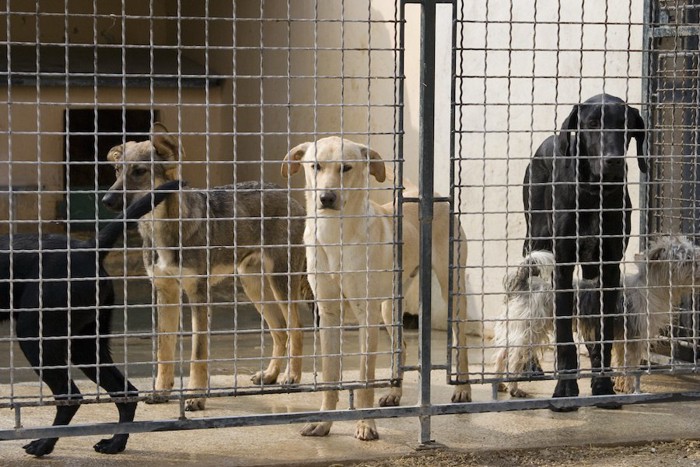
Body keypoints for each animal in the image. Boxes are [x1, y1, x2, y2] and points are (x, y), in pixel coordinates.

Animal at [1, 180, 180, 458]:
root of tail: (88, 249)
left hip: (37, 335)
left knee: (71, 396)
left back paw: (44, 444)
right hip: (85, 343)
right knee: (124, 391)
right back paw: (115, 443)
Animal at [280, 136, 470, 442]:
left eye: (346, 168)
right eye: (315, 166)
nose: (326, 198)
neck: (335, 235)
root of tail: (429, 194)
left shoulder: (365, 317)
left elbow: (366, 378)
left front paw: (366, 424)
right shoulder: (328, 315)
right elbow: (330, 374)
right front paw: (324, 421)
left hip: (451, 287)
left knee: (460, 339)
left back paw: (463, 388)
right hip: (388, 306)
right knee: (401, 346)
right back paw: (394, 392)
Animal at [494, 238, 700, 398]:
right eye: (688, 259)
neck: (651, 288)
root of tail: (524, 284)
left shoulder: (621, 338)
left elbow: (620, 362)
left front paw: (620, 385)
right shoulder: (634, 337)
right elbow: (630, 364)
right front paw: (631, 388)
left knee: (501, 354)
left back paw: (499, 384)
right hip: (529, 330)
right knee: (513, 357)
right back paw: (514, 388)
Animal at [524, 93, 644, 412]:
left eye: (624, 125)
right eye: (592, 124)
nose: (613, 160)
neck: (594, 192)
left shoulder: (609, 268)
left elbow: (603, 332)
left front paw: (603, 386)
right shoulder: (563, 266)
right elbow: (565, 335)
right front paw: (565, 390)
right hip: (536, 244)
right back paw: (530, 366)